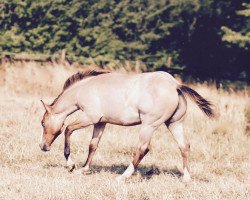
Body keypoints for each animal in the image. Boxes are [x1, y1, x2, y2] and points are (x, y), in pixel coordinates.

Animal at [39, 69, 215, 182]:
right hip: (174, 124)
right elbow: (93, 145)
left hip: (148, 126)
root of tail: (175, 85)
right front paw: (84, 169)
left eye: (42, 123)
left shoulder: (90, 118)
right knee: (184, 146)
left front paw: (71, 165)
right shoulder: (101, 122)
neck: (84, 89)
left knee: (143, 149)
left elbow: (67, 129)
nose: (43, 146)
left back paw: (123, 176)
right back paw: (186, 178)